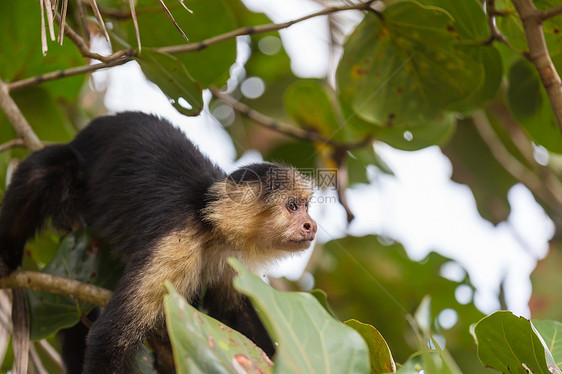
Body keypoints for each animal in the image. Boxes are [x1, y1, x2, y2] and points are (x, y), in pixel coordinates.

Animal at [0, 111, 316, 374]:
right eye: (292, 206)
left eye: (306, 206)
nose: (311, 225)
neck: (211, 227)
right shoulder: (176, 244)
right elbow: (110, 338)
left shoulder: (229, 257)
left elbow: (235, 318)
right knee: (48, 168)